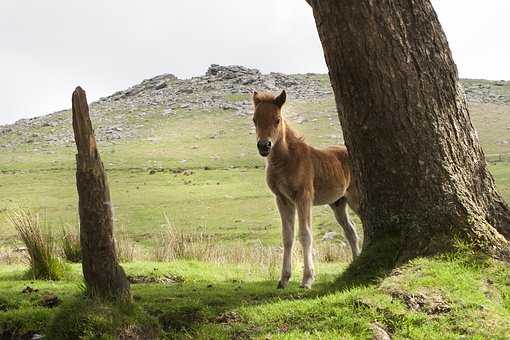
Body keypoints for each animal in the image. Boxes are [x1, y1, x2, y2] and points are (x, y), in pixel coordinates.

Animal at [253, 89, 360, 288]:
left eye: (277, 119)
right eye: (254, 119)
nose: (264, 146)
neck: (287, 160)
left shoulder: (304, 197)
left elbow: (305, 234)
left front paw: (307, 279)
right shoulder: (283, 199)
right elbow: (287, 236)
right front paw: (284, 279)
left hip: (356, 199)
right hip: (338, 204)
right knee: (351, 230)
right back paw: (357, 261)